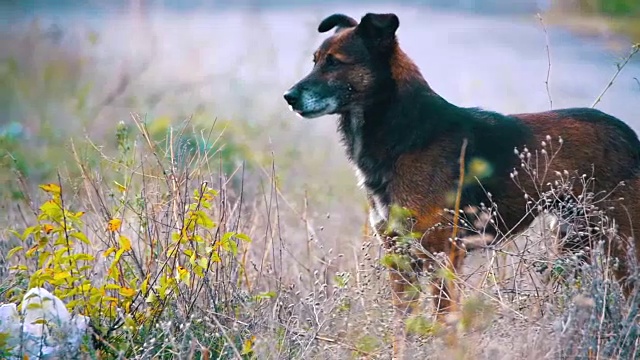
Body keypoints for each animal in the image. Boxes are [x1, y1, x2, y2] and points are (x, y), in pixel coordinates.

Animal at [284, 11, 640, 358]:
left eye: (334, 62)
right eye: (315, 60)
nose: (289, 97)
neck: (404, 130)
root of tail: (629, 136)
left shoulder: (443, 255)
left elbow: (445, 324)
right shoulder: (399, 255)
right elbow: (403, 330)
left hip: (621, 246)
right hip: (573, 242)